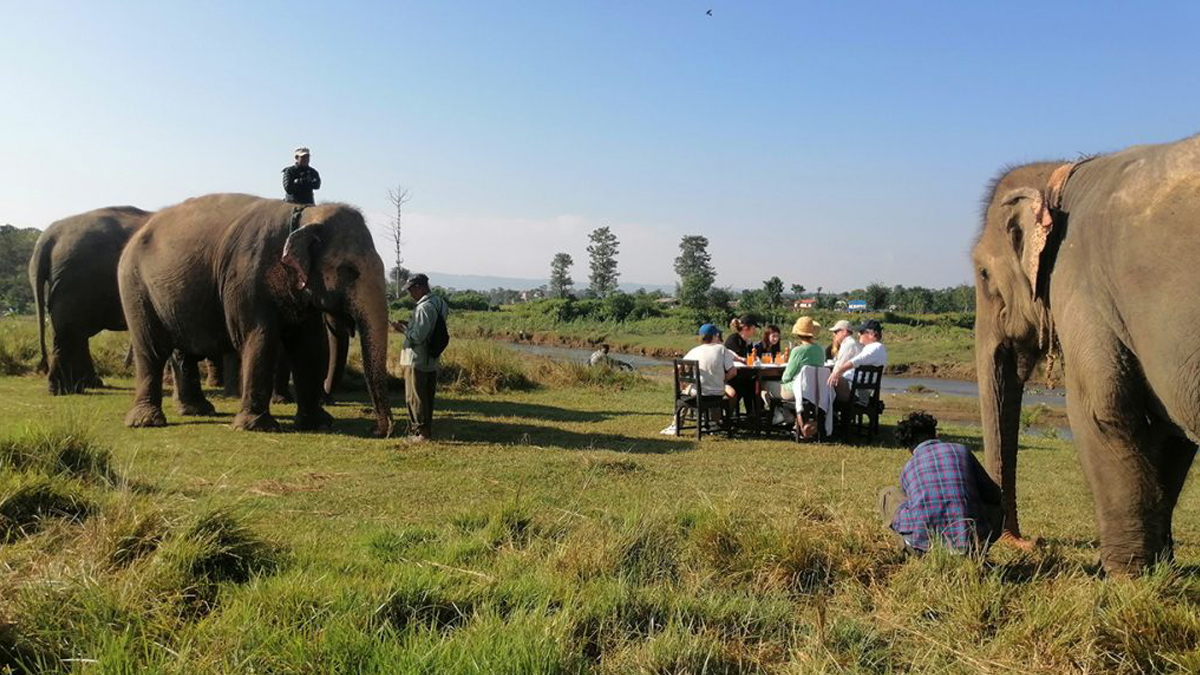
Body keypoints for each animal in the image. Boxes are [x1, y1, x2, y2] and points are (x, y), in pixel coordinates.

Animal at [28, 205, 152, 393]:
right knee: (71, 331)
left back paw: (83, 385)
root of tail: (48, 236)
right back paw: (65, 389)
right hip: (78, 281)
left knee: (74, 331)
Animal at [117, 193, 391, 437]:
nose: (377, 430)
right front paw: (256, 427)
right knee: (151, 349)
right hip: (135, 288)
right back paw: (146, 422)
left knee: (183, 352)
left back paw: (196, 411)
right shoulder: (246, 277)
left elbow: (309, 346)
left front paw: (319, 424)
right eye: (349, 271)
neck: (304, 215)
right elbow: (260, 338)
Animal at [974, 132, 1200, 571]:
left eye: (983, 274)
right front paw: (1160, 568)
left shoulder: (1080, 282)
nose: (1028, 542)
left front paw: (1125, 576)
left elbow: (1102, 409)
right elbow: (1168, 428)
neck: (1059, 178)